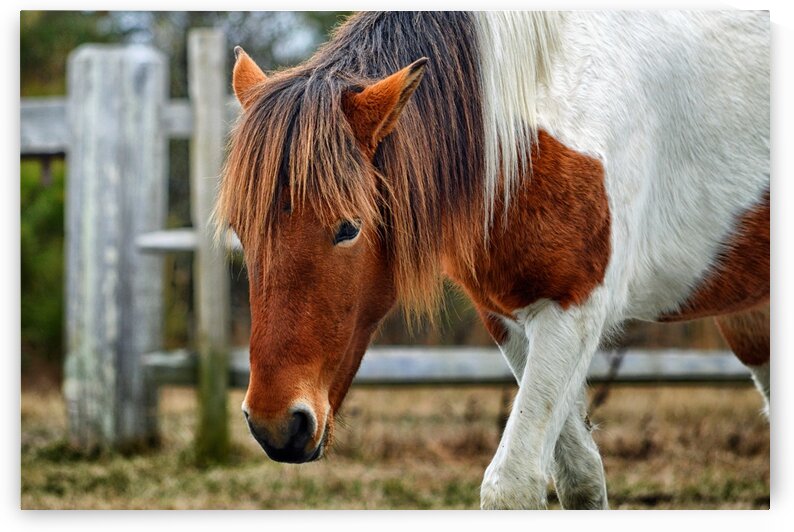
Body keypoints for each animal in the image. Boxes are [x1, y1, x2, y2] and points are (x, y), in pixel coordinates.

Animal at [214, 11, 769, 509]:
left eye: (348, 228)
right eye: (242, 231)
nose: (276, 425)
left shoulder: (574, 313)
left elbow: (514, 485)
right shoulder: (510, 319)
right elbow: (580, 477)